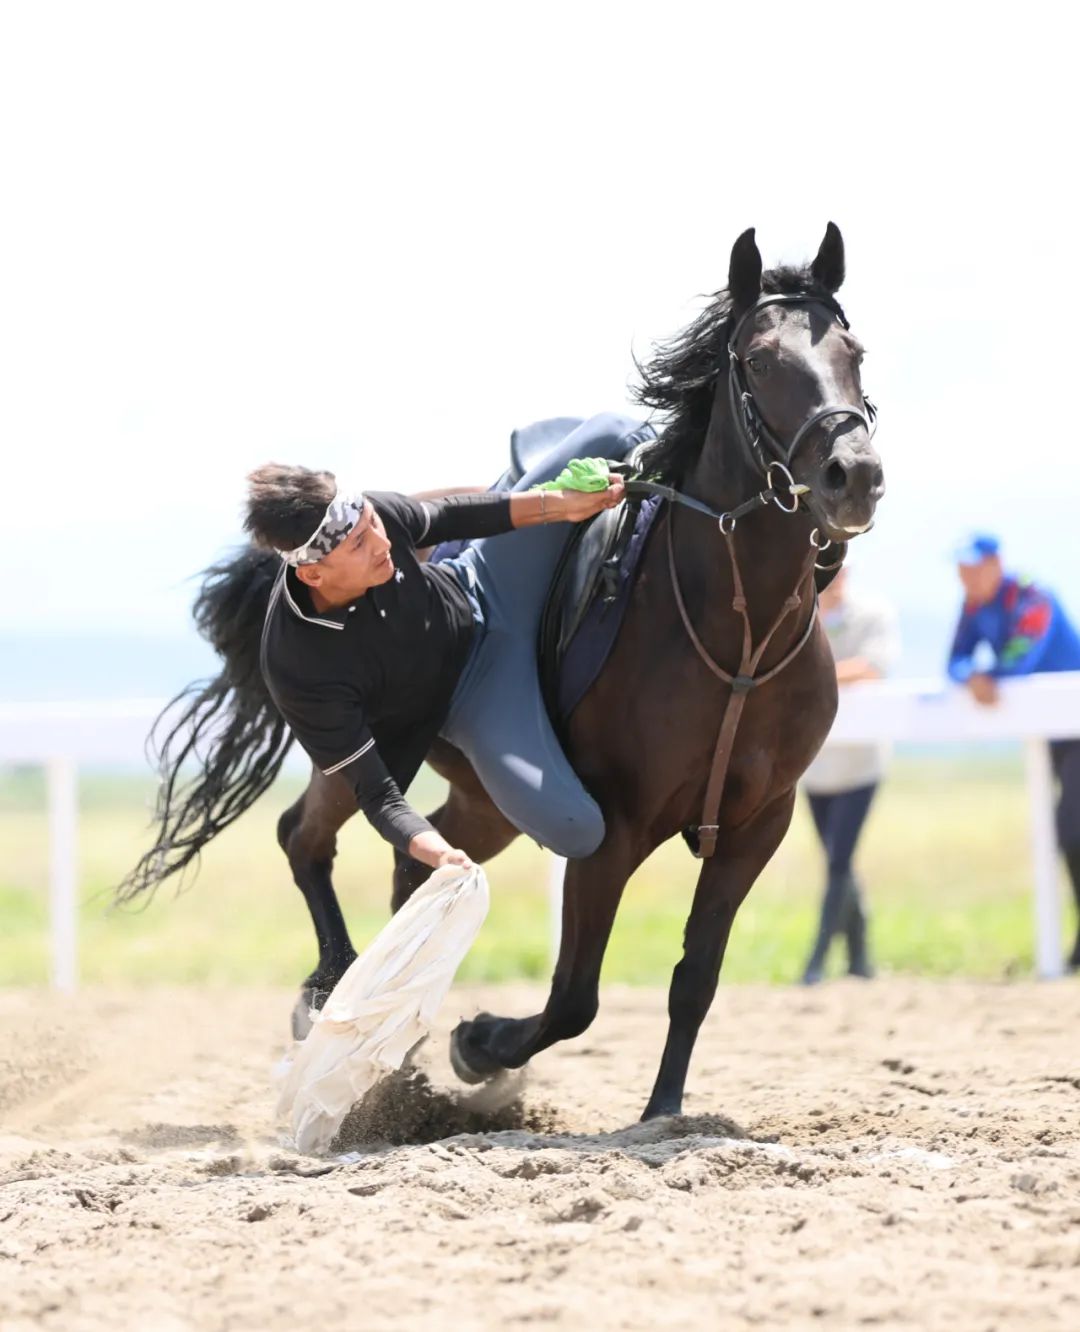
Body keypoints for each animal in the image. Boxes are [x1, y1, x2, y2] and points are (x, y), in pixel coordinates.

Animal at [120, 223, 878, 1118]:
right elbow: (576, 995)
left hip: (489, 799)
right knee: (304, 836)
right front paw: (480, 1044)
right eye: (759, 360)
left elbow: (695, 977)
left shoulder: (759, 824)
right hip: (375, 751)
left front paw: (661, 1112)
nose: (855, 476)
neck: (741, 634)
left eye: (854, 352)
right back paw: (330, 991)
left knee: (414, 858)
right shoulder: (611, 829)